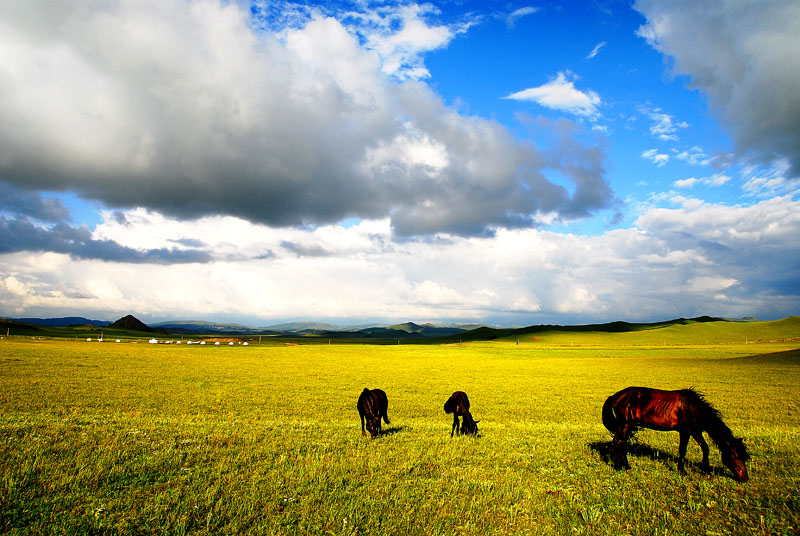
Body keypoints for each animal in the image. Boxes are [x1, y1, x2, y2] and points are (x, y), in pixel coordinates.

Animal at [600, 386, 752, 482]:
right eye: (736, 456)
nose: (745, 478)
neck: (693, 408)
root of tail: (615, 396)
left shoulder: (696, 431)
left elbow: (705, 448)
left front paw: (706, 469)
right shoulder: (687, 431)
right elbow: (683, 450)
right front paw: (682, 471)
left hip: (626, 425)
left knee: (620, 442)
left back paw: (623, 465)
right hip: (625, 424)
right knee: (618, 442)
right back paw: (622, 466)